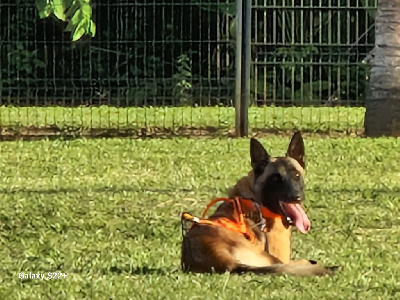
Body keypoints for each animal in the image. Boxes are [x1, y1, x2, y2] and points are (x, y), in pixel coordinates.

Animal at [180, 131, 336, 276]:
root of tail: (223, 260)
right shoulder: (282, 258)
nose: (296, 197)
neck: (258, 201)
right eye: (275, 179)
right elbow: (305, 261)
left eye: (296, 175)